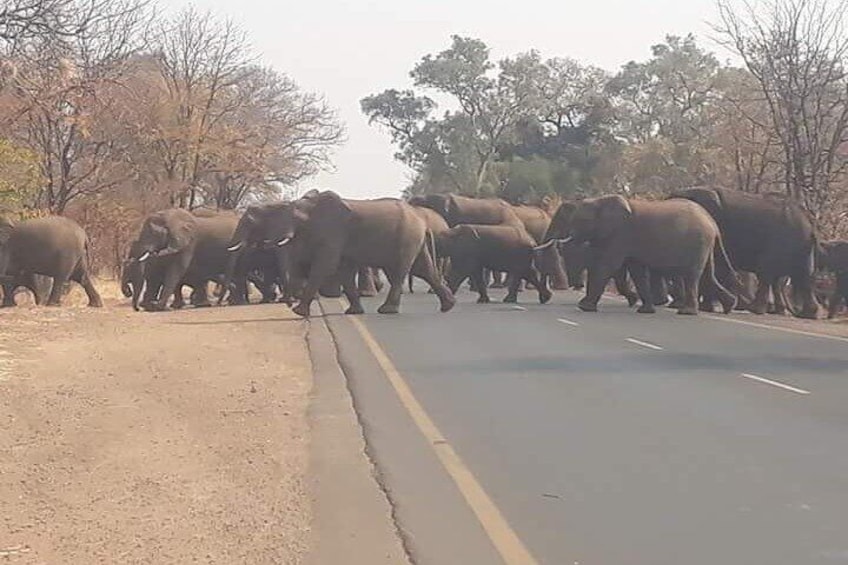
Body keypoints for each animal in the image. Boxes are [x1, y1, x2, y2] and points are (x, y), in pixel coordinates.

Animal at [222, 191, 454, 318]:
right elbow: (343, 270)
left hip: (407, 237)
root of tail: (422, 220)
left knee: (399, 271)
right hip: (413, 239)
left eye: (295, 220)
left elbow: (326, 265)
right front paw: (353, 312)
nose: (287, 302)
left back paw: (387, 310)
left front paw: (298, 312)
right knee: (423, 270)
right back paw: (448, 306)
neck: (307, 204)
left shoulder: (333, 229)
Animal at [552, 195, 740, 312]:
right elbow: (637, 271)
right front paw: (645, 310)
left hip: (698, 243)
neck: (600, 200)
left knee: (692, 275)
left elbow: (608, 265)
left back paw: (686, 312)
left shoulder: (621, 234)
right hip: (704, 245)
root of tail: (712, 223)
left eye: (580, 221)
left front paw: (584, 307)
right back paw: (730, 306)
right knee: (708, 275)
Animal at [668, 186, 820, 316]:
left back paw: (756, 310)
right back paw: (806, 314)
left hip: (783, 241)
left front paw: (704, 308)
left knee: (768, 273)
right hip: (801, 246)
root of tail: (809, 220)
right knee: (802, 277)